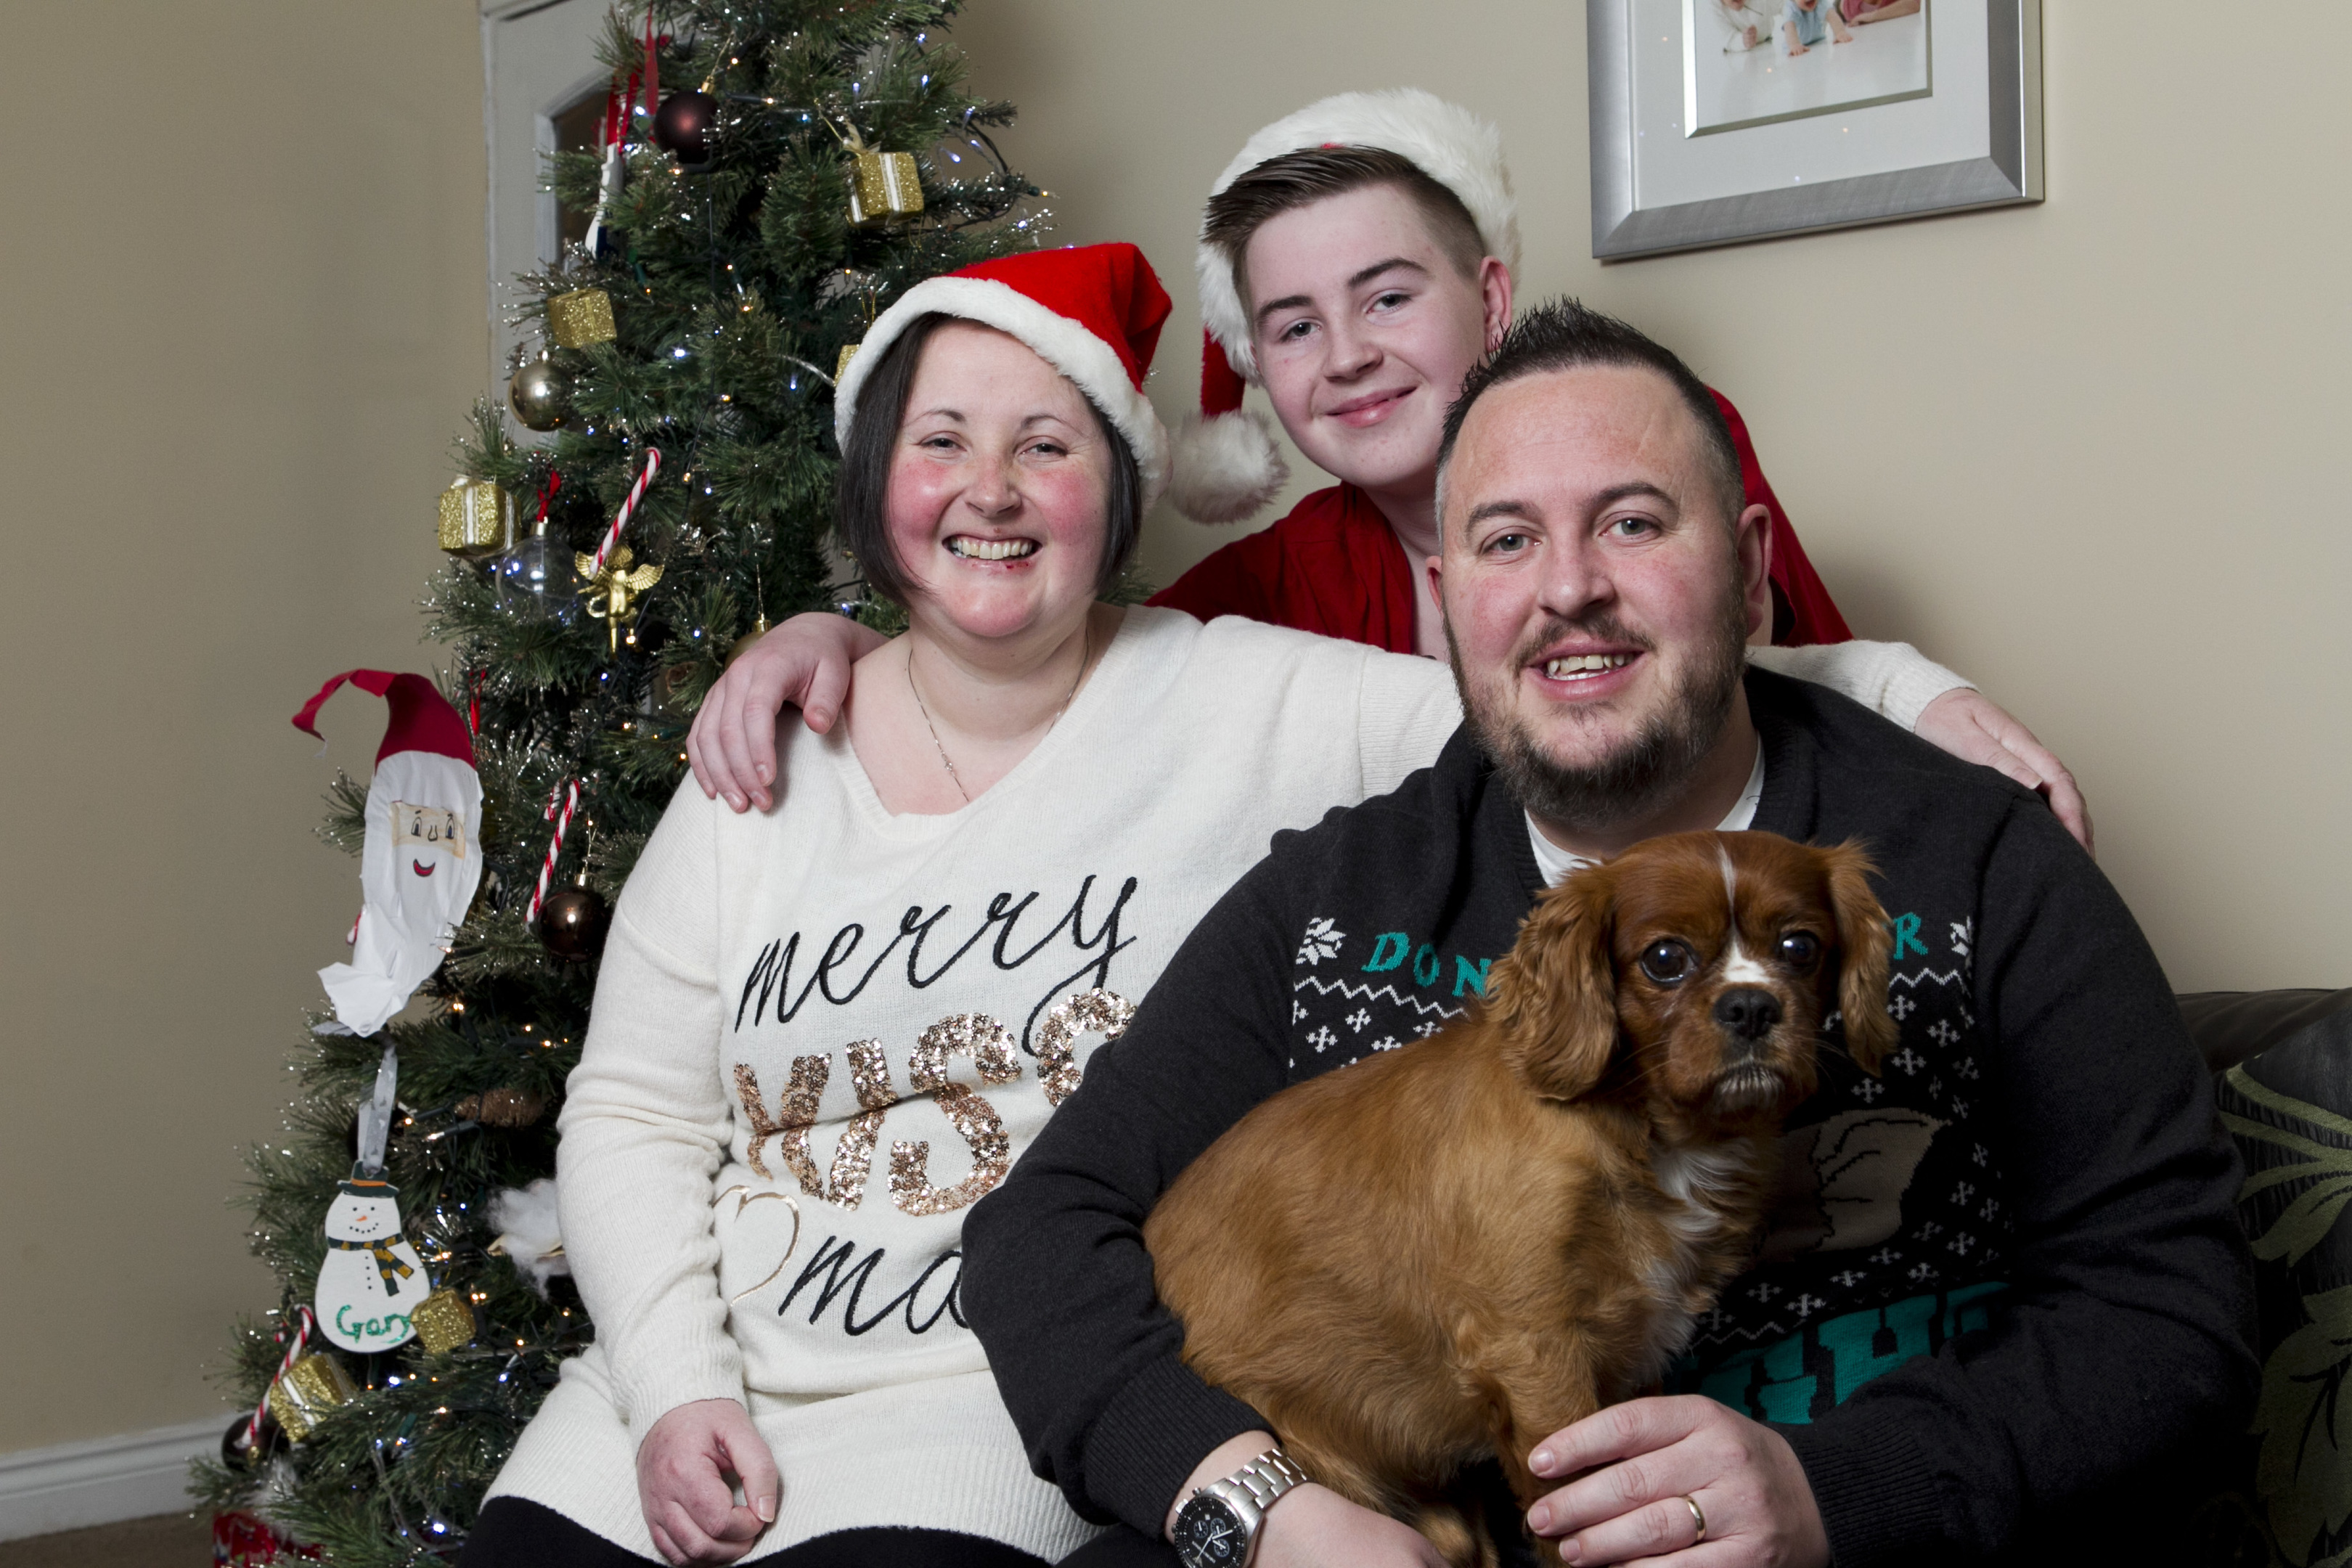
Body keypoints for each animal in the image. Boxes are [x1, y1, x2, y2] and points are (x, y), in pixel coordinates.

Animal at [1138, 827, 1890, 1561]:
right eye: (1665, 959)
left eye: (1800, 948)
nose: (1752, 1005)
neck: (1650, 1135)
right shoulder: (1536, 1353)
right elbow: (1576, 1517)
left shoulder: (1634, 1354)